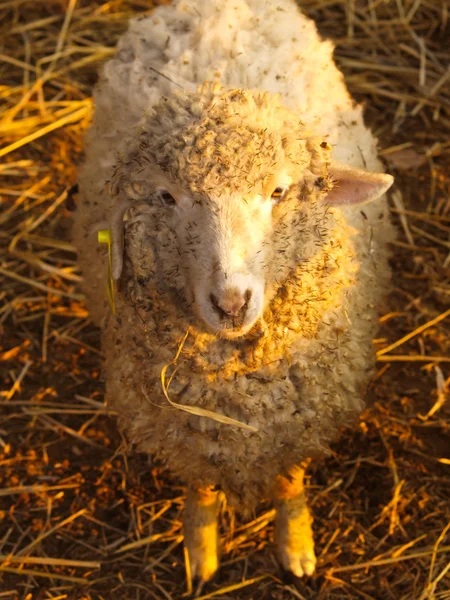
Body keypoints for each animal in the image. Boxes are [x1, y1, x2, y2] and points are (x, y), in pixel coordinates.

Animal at [73, 0, 394, 584]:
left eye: (279, 192)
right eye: (166, 197)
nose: (230, 303)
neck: (238, 387)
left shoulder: (297, 418)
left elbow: (290, 481)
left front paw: (296, 543)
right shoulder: (188, 427)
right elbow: (201, 487)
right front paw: (200, 551)